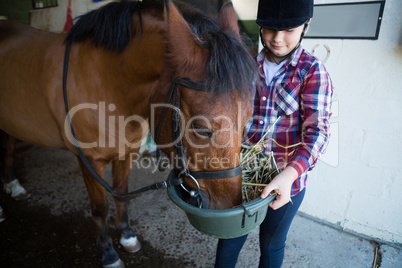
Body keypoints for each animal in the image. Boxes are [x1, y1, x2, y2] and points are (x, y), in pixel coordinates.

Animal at [0, 1, 258, 266]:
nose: (229, 207)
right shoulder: (89, 161)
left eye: (248, 119)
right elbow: (99, 207)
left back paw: (14, 185)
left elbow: (122, 195)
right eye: (201, 129)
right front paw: (108, 252)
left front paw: (126, 236)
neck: (106, 82)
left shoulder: (127, 152)